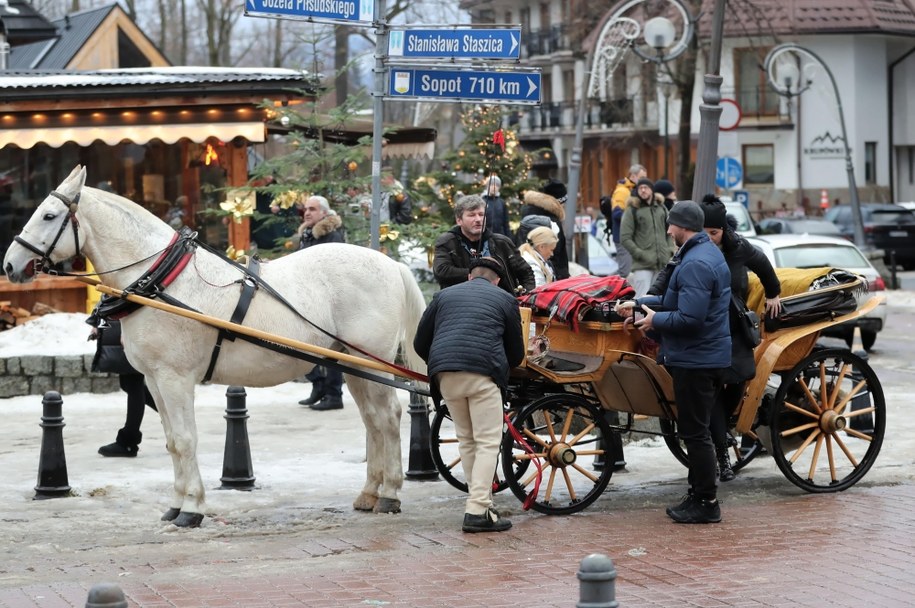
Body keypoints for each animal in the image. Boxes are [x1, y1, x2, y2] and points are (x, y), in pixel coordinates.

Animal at [3, 166, 430, 528]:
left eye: (48, 216)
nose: (10, 265)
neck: (163, 282)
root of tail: (391, 264)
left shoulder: (174, 379)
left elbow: (185, 440)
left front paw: (191, 508)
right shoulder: (154, 380)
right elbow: (172, 442)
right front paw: (176, 504)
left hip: (369, 362)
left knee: (388, 418)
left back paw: (390, 493)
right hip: (352, 363)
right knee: (373, 422)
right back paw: (370, 492)